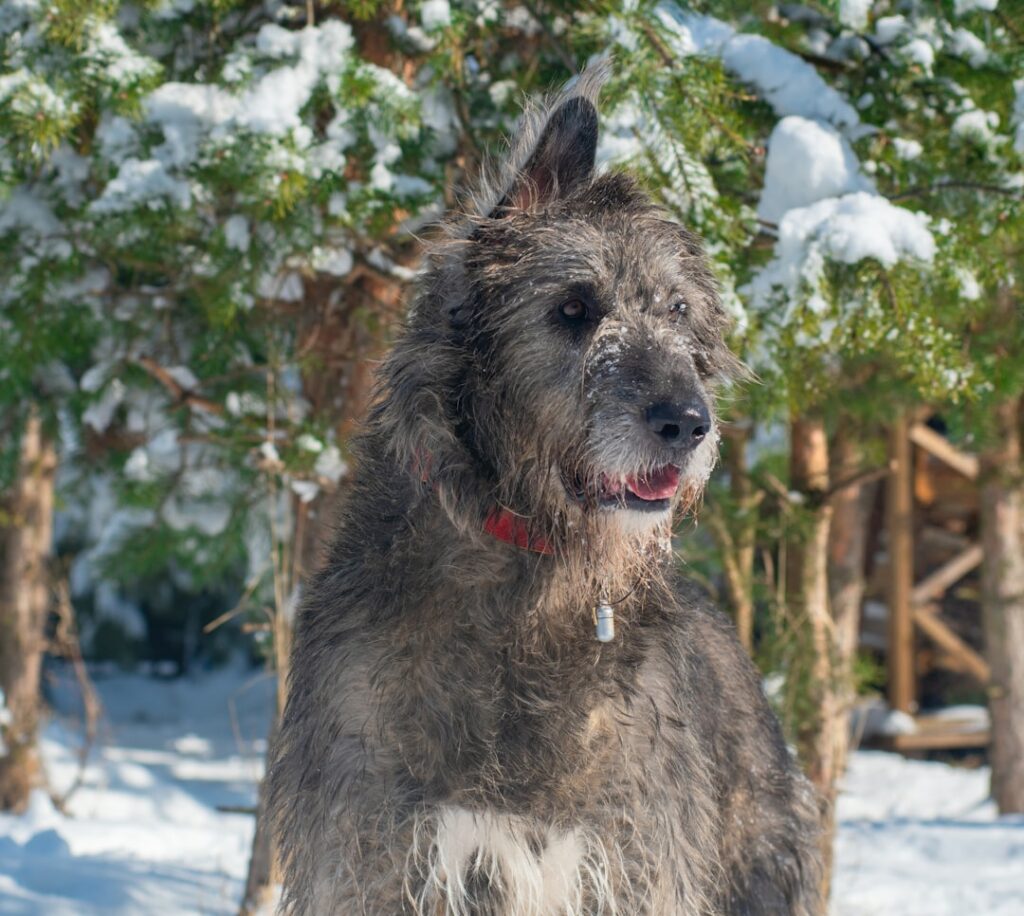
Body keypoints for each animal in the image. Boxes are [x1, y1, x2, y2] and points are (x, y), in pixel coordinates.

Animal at [268, 66, 819, 916]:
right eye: (572, 308)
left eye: (677, 309)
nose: (688, 424)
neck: (526, 592)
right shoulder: (375, 855)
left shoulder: (632, 860)